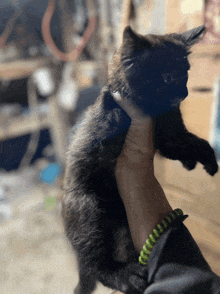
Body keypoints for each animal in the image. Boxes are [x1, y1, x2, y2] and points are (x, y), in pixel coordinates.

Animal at [62, 25, 218, 294]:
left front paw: (205, 161)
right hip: (87, 210)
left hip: (124, 229)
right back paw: (124, 276)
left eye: (186, 72)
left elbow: (196, 143)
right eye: (167, 77)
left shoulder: (171, 138)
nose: (184, 93)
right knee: (97, 265)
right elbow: (106, 117)